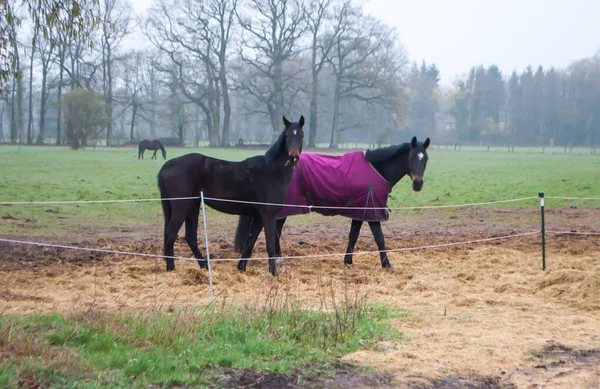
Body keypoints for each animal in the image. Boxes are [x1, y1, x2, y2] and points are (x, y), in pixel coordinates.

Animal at [157, 113, 304, 274]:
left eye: (301, 135)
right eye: (287, 135)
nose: (293, 157)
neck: (272, 171)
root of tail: (167, 164)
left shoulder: (259, 216)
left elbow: (250, 241)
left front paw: (242, 267)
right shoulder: (268, 214)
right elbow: (270, 244)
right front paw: (273, 273)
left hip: (193, 206)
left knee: (190, 237)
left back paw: (204, 265)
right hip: (181, 207)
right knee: (170, 233)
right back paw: (171, 267)